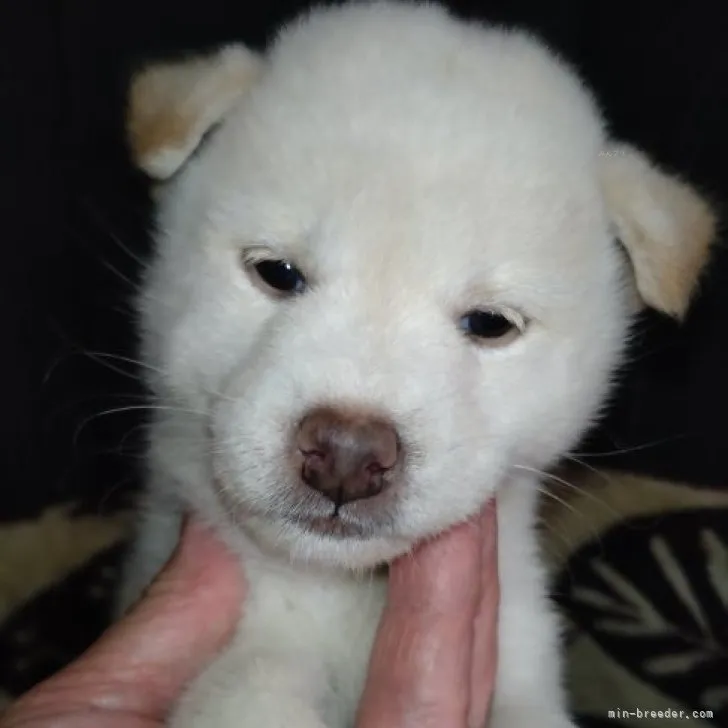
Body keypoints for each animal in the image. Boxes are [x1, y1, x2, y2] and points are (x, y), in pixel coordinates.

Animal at [116, 2, 712, 724]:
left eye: (490, 323)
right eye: (277, 273)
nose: (346, 454)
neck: (342, 594)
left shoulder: (519, 659)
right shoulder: (249, 658)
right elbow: (254, 691)